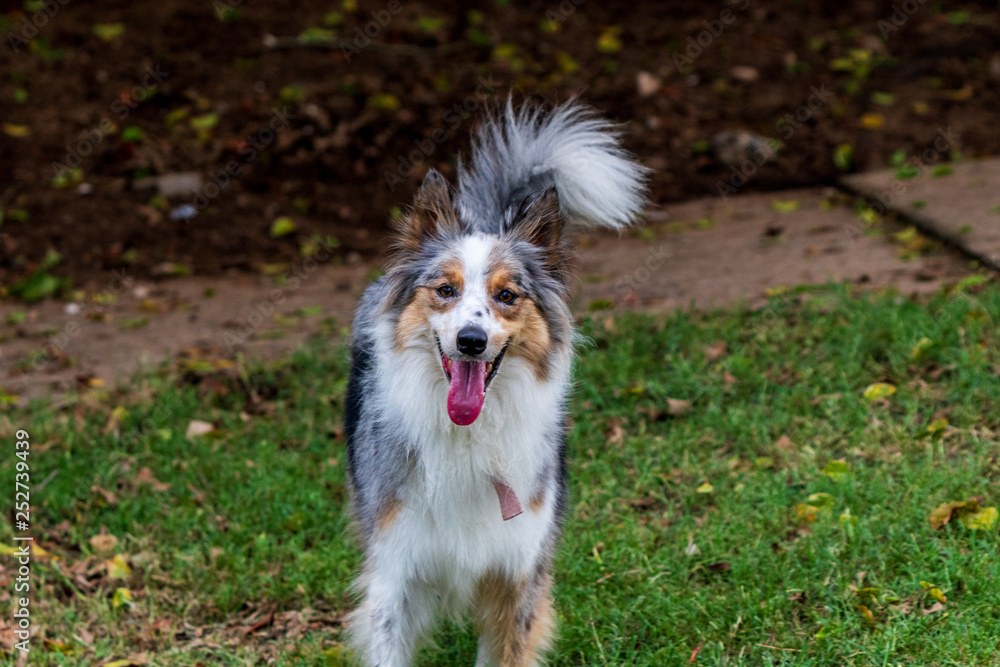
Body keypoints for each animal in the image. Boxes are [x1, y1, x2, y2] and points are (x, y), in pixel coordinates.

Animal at [346, 100, 648, 667]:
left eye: (507, 295)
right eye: (445, 290)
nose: (471, 340)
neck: (468, 436)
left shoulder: (518, 572)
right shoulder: (395, 575)